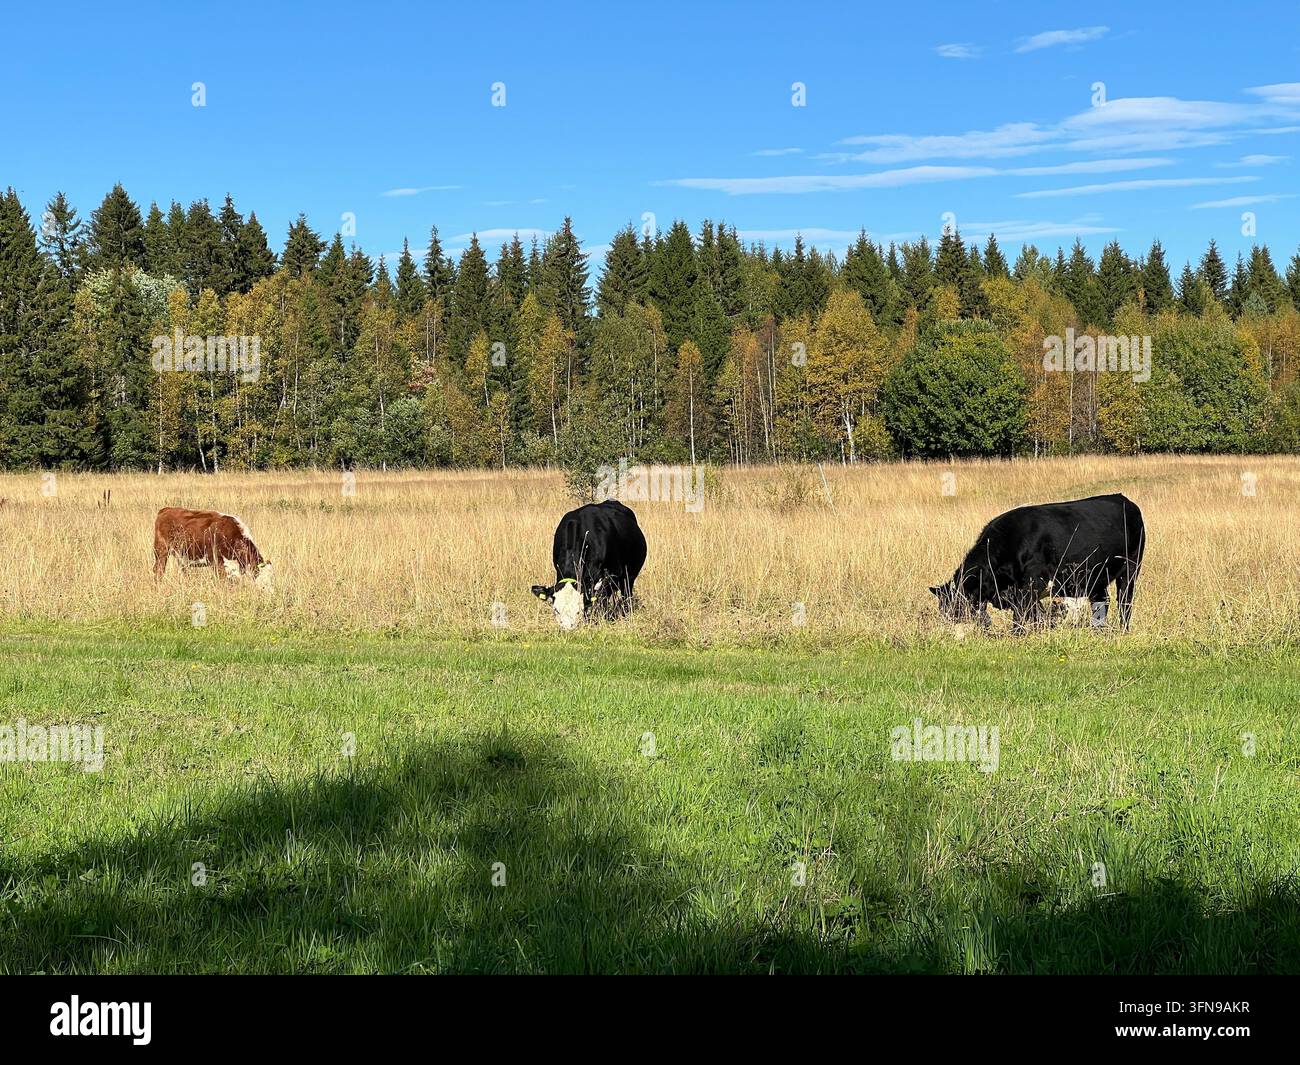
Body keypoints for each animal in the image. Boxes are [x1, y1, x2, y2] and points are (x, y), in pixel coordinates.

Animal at [531, 500, 647, 630]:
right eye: (556, 610)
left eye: (578, 611)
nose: (568, 629)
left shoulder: (610, 576)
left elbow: (601, 601)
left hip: (629, 577)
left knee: (625, 595)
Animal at [931, 493, 1145, 632]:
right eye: (942, 609)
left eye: (956, 608)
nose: (948, 632)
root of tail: (1124, 499)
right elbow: (1035, 615)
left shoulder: (1032, 584)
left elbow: (1021, 616)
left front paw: (1017, 635)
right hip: (1096, 575)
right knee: (1101, 601)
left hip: (1131, 569)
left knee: (1124, 601)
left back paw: (1123, 629)